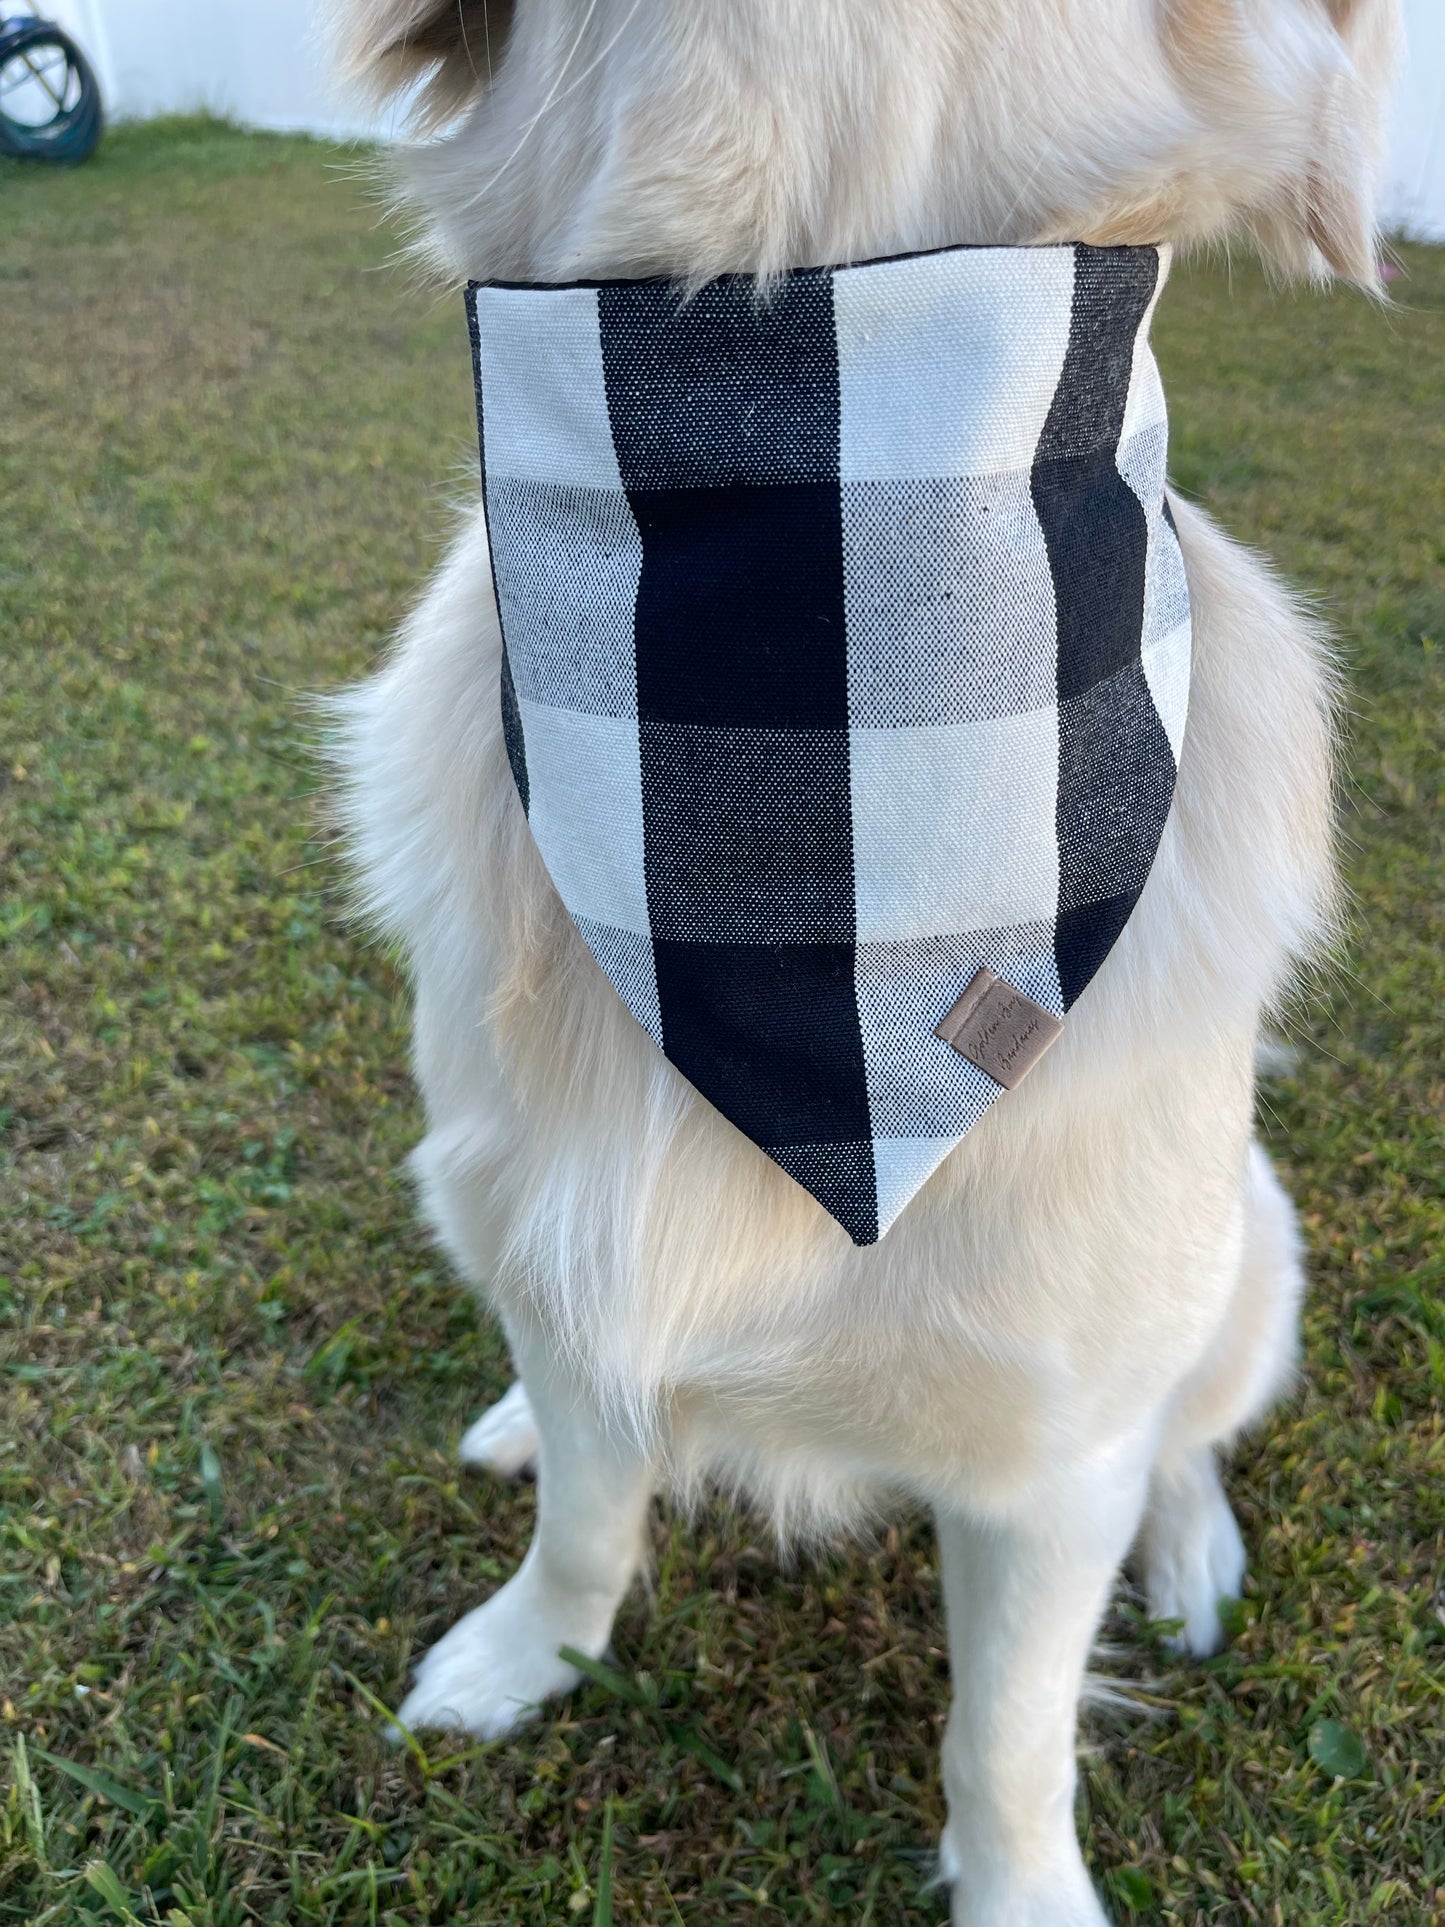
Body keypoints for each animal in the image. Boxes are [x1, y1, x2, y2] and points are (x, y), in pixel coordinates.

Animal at [321, 7, 1394, 1919]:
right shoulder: (551, 1230)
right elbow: (585, 1518)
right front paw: (527, 1653)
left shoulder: (1054, 1447)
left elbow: (1012, 1731)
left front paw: (1023, 1886)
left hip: (1251, 1251)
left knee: (1197, 1420)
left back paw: (1192, 1549)